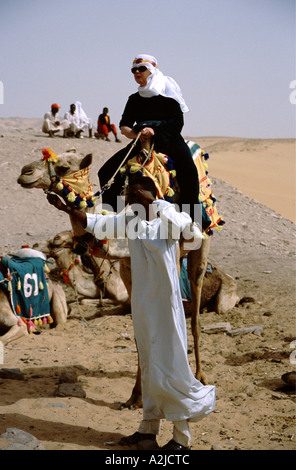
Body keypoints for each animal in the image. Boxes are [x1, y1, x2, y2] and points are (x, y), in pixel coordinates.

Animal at [16, 144, 238, 408]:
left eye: (63, 167)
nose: (24, 172)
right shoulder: (126, 270)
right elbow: (138, 334)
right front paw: (136, 396)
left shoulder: (170, 258)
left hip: (202, 246)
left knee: (194, 315)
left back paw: (199, 376)